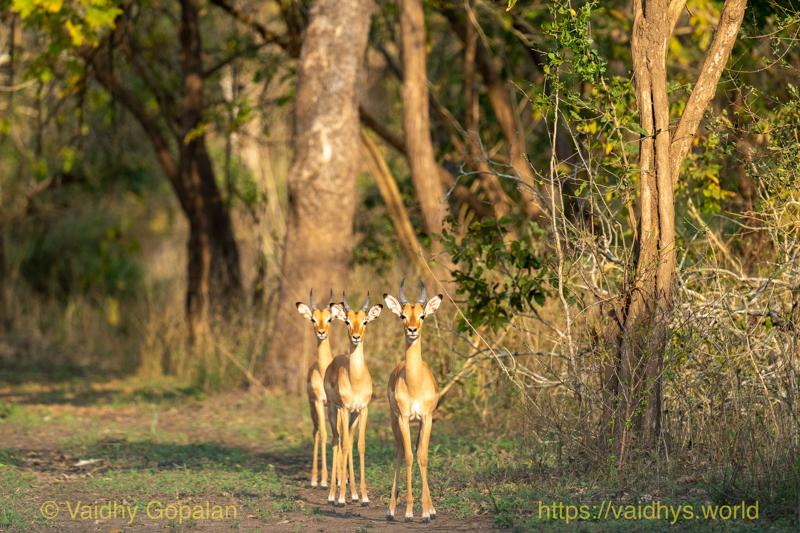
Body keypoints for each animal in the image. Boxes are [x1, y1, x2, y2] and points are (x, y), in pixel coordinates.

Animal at [325, 292, 382, 506]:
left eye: (365, 321)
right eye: (347, 321)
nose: (356, 337)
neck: (355, 379)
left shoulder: (363, 409)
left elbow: (360, 446)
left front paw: (364, 496)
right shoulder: (344, 408)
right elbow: (344, 445)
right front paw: (341, 498)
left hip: (353, 416)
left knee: (347, 440)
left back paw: (354, 494)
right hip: (333, 411)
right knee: (337, 441)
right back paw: (333, 495)